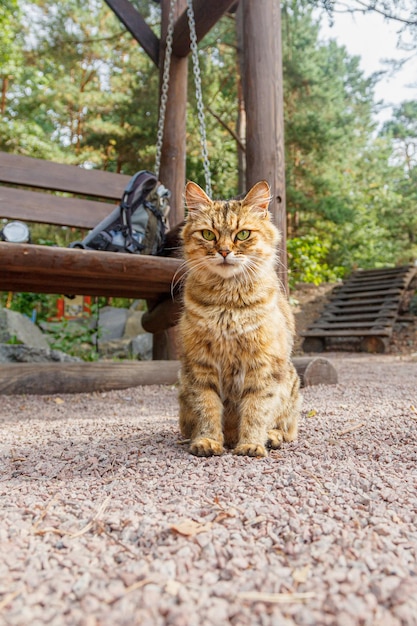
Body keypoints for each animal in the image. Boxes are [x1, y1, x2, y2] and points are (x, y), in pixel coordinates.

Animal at [177, 178, 300, 456]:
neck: (228, 305)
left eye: (242, 234)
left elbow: (256, 410)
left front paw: (251, 444)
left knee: (286, 429)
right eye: (208, 234)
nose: (224, 251)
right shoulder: (200, 364)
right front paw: (208, 441)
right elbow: (207, 408)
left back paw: (270, 437)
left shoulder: (262, 365)